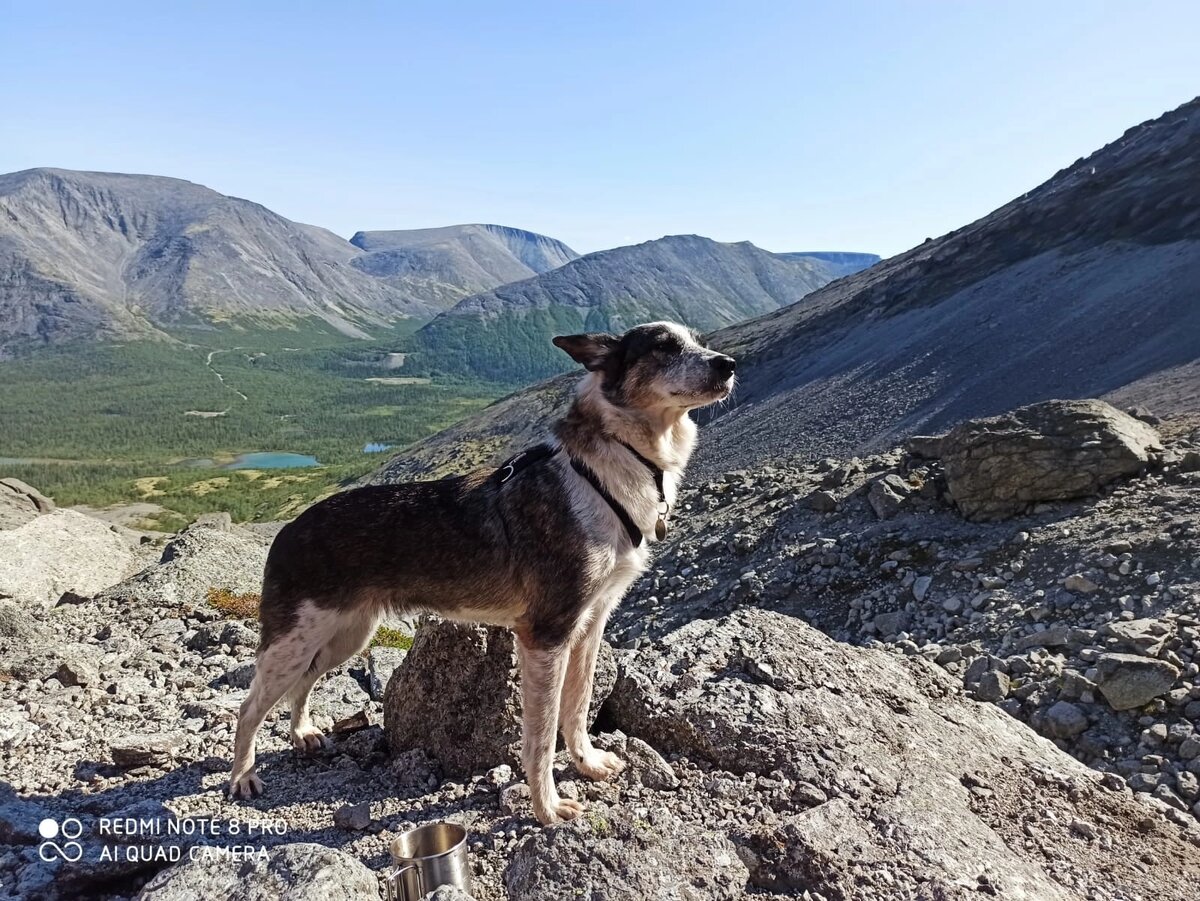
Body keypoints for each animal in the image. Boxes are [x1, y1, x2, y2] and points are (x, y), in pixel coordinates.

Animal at [224, 319, 729, 825]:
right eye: (662, 346)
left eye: (699, 341)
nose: (728, 365)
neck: (608, 470)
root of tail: (290, 527)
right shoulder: (545, 635)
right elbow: (541, 735)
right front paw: (547, 808)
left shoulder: (590, 625)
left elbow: (578, 706)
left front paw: (587, 763)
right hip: (296, 638)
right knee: (249, 707)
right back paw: (242, 777)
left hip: (346, 635)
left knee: (304, 681)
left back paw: (302, 732)